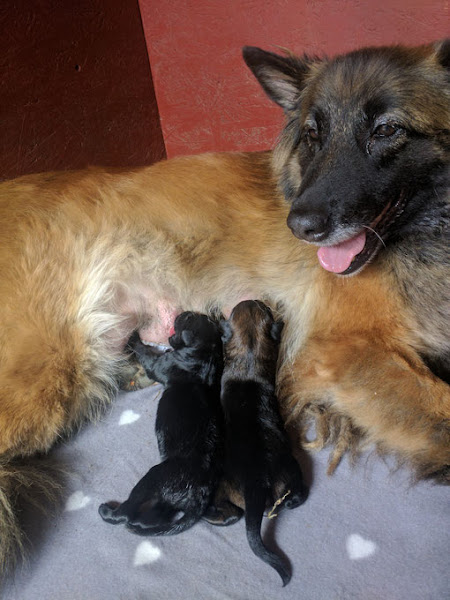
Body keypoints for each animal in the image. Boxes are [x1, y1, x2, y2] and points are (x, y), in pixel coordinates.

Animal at [98, 312, 223, 535]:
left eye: (188, 318)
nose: (183, 313)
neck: (205, 355)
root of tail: (199, 498)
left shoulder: (159, 363)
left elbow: (145, 352)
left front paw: (133, 338)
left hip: (154, 477)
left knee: (127, 512)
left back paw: (108, 512)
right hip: (166, 502)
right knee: (152, 517)